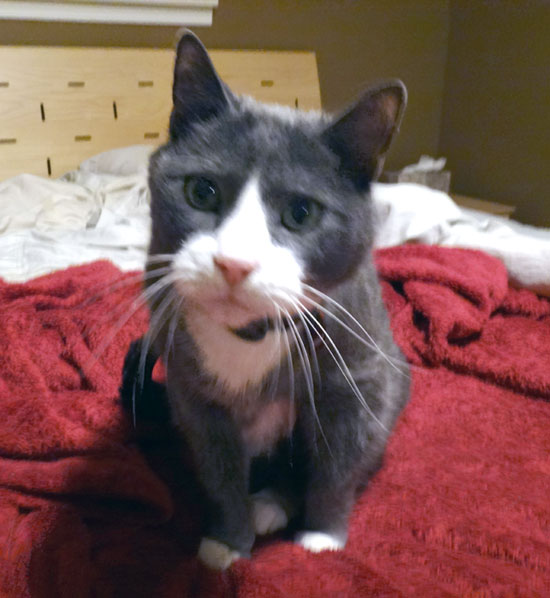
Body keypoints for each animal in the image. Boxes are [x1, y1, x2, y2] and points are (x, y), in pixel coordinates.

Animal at [126, 30, 410, 571]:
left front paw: (322, 537)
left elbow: (338, 463)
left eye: (302, 213)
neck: (249, 334)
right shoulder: (193, 394)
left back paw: (274, 506)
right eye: (201, 191)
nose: (234, 262)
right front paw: (225, 544)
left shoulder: (355, 376)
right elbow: (219, 472)